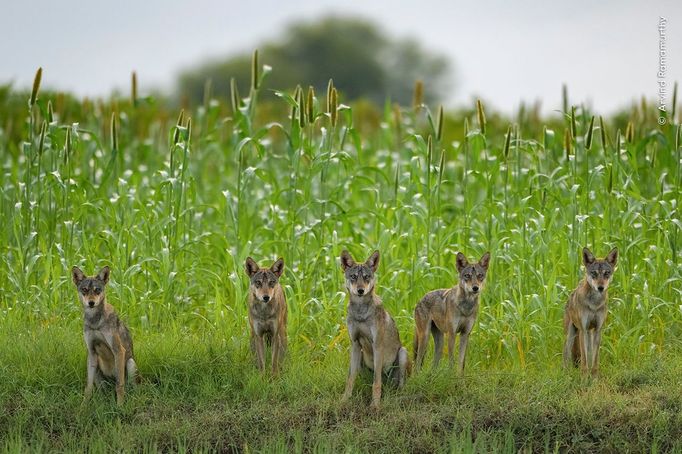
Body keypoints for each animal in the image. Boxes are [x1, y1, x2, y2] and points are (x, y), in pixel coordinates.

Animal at [338, 250, 406, 410]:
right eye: (353, 277)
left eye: (366, 277)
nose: (360, 290)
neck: (360, 312)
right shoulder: (355, 344)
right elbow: (350, 379)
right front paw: (344, 401)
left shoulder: (377, 346)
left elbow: (376, 382)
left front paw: (375, 405)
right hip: (361, 356)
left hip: (403, 353)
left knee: (398, 385)